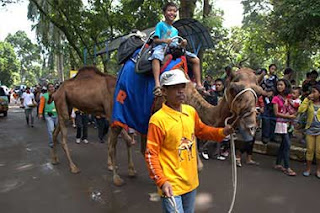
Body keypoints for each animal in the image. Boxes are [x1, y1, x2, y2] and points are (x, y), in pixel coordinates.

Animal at [109, 67, 264, 186]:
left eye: (259, 92)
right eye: (233, 89)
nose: (250, 126)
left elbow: (198, 166)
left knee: (138, 145)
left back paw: (132, 171)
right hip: (119, 110)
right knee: (113, 140)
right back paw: (116, 176)